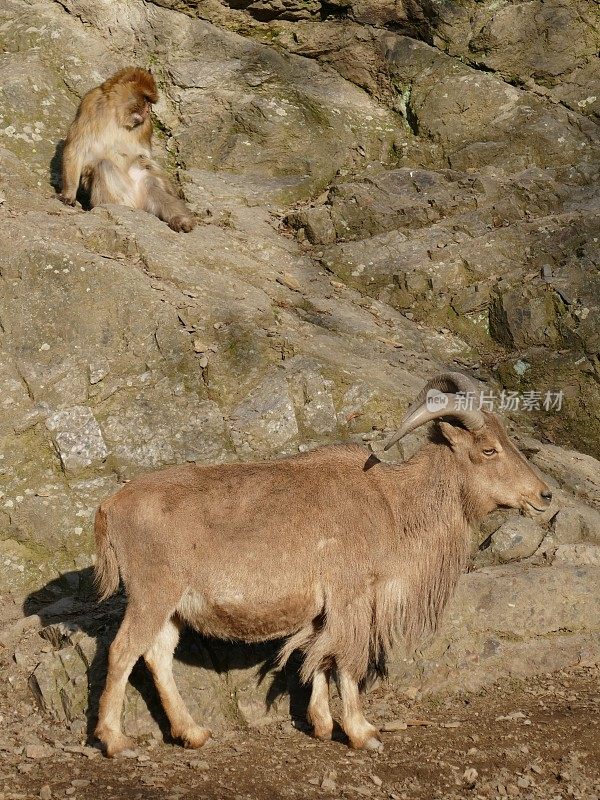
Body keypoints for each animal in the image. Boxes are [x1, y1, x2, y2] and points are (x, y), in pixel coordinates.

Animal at [60, 67, 195, 233]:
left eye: (149, 102)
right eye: (145, 99)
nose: (148, 111)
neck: (116, 114)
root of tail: (135, 203)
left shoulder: (146, 126)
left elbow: (145, 157)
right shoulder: (90, 104)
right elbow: (76, 148)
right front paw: (69, 194)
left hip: (142, 187)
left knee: (151, 181)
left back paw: (181, 221)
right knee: (105, 164)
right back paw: (113, 206)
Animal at [92, 372, 548, 752]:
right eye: (488, 449)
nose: (543, 495)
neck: (390, 504)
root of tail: (109, 507)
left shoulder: (325, 608)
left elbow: (319, 655)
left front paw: (323, 724)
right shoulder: (352, 595)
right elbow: (346, 659)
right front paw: (362, 732)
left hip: (172, 606)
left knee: (157, 655)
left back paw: (193, 733)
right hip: (152, 593)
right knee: (123, 650)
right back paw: (115, 740)